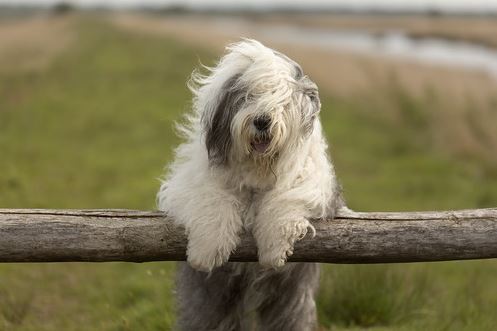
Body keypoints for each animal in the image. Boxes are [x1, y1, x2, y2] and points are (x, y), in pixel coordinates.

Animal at [159, 40, 344, 330]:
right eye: (248, 97)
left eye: (282, 100)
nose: (262, 121)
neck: (257, 170)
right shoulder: (190, 184)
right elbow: (212, 199)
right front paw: (208, 251)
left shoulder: (313, 185)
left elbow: (286, 199)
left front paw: (273, 249)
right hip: (213, 296)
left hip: (291, 292)